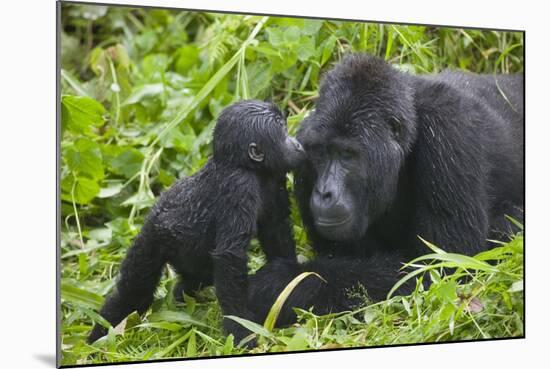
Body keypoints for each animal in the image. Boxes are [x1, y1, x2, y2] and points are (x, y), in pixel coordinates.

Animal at [89, 100, 308, 342]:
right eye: (283, 131)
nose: (297, 144)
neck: (245, 165)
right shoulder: (239, 186)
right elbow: (230, 256)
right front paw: (241, 328)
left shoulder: (274, 177)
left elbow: (276, 231)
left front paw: (289, 280)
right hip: (151, 239)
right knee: (135, 291)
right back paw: (100, 335)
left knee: (197, 277)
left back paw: (181, 296)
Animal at [248, 52, 524, 324]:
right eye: (321, 152)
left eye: (347, 155)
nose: (324, 192)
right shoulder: (303, 148)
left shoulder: (450, 129)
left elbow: (442, 266)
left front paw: (280, 283)